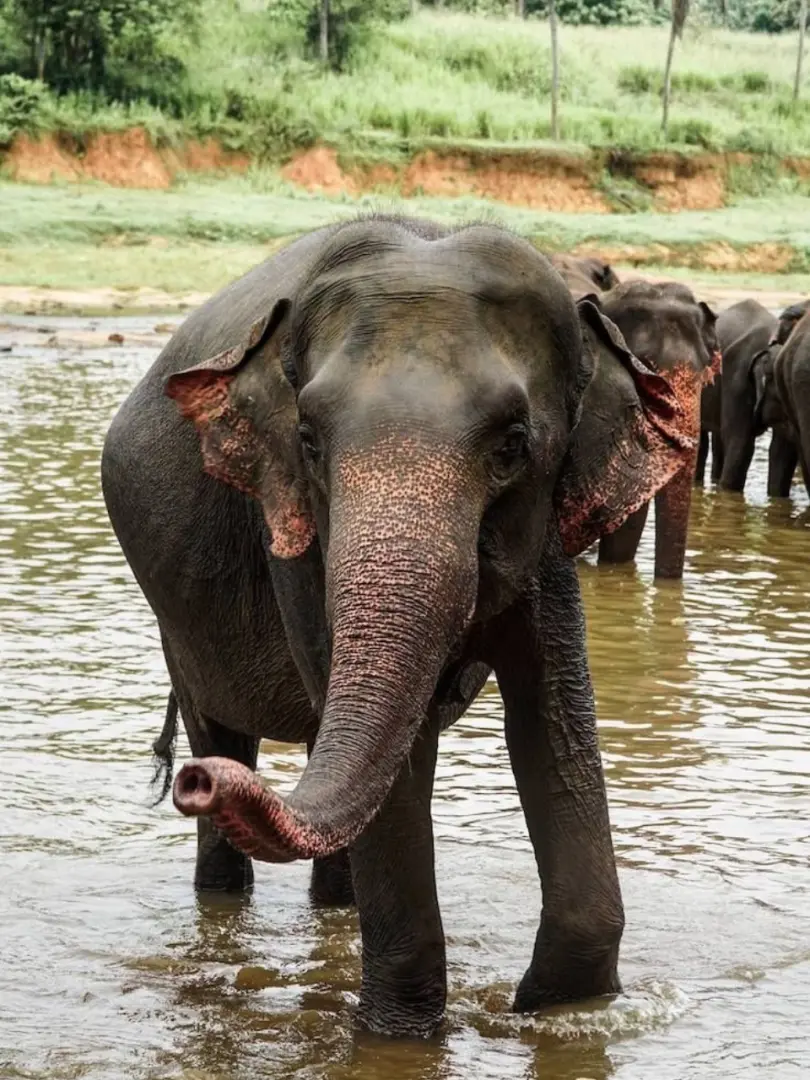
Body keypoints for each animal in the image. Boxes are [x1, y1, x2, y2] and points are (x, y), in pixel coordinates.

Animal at [101, 215, 699, 1039]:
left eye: (514, 445)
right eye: (309, 441)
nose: (197, 784)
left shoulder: (546, 532)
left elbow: (550, 721)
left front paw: (558, 1011)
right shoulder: (293, 533)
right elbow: (402, 758)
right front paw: (398, 1039)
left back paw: (331, 903)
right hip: (177, 626)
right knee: (224, 729)